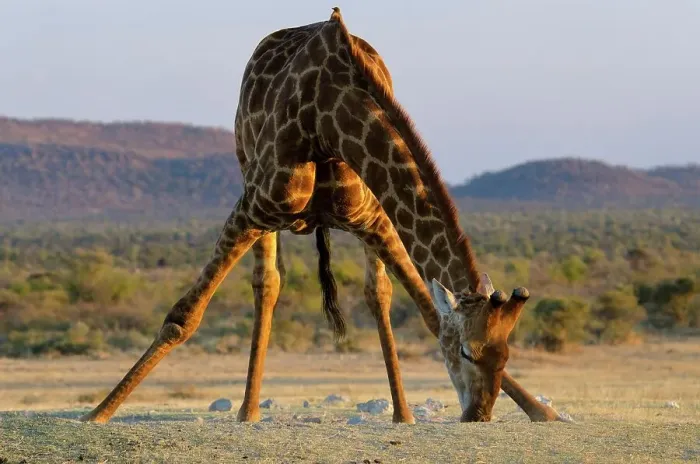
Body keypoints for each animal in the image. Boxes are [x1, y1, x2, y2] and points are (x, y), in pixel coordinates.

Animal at [80, 7, 563, 424]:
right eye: (465, 351)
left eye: (506, 356)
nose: (477, 414)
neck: (330, 120)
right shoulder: (252, 206)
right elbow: (184, 316)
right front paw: (99, 412)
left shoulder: (376, 220)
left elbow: (425, 311)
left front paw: (541, 410)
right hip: (253, 189)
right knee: (267, 285)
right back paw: (247, 411)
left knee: (376, 292)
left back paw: (402, 413)